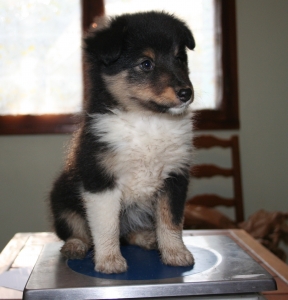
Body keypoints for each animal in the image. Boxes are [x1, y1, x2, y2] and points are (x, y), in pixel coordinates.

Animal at [49, 12, 196, 274]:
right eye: (146, 63)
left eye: (180, 58)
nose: (186, 93)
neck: (147, 119)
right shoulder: (100, 179)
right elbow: (106, 225)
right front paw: (109, 260)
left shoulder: (175, 177)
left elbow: (171, 221)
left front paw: (176, 254)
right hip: (61, 197)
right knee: (77, 230)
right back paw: (75, 246)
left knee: (129, 234)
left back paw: (148, 237)